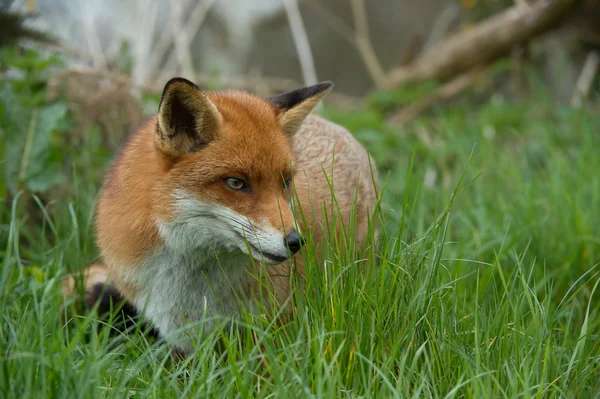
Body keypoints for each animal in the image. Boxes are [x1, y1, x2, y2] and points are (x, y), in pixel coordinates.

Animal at [62, 78, 380, 356]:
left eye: (285, 182)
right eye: (236, 183)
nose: (295, 242)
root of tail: (342, 130)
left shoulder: (270, 330)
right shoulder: (181, 336)